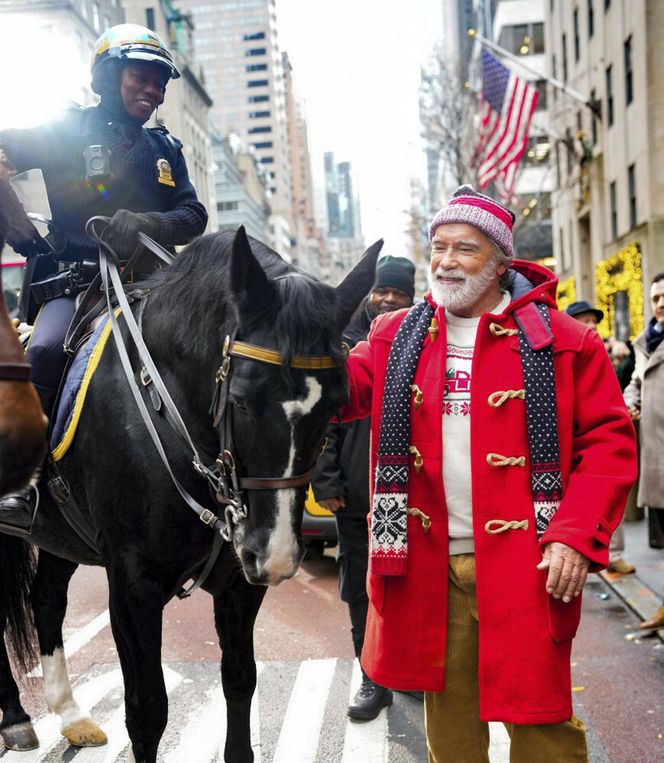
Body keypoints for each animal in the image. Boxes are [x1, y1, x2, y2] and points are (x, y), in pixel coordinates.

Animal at [0, 228, 378, 763]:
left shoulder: (240, 584)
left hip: (62, 537)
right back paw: (15, 717)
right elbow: (147, 711)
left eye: (337, 404)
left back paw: (71, 717)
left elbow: (240, 682)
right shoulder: (133, 586)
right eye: (241, 398)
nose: (278, 556)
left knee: (46, 600)